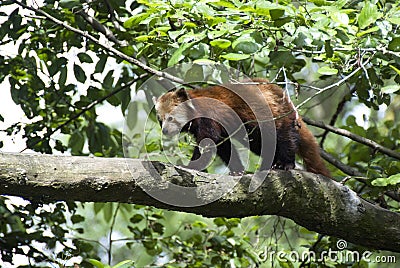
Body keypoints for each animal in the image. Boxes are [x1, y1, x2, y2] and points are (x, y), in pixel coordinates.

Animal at [153, 78, 332, 178]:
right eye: (161, 120)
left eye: (171, 118)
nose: (165, 131)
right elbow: (224, 146)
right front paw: (237, 170)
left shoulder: (209, 117)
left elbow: (208, 142)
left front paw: (190, 166)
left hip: (276, 117)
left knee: (284, 138)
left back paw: (285, 164)